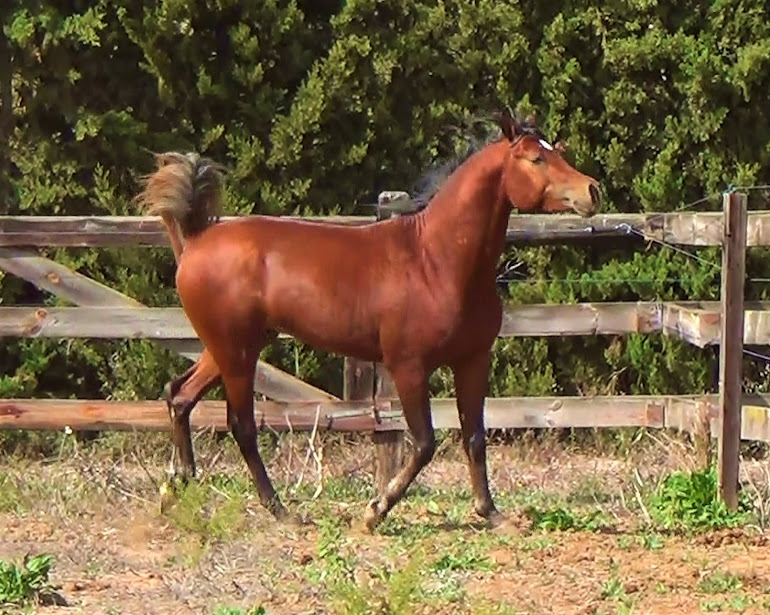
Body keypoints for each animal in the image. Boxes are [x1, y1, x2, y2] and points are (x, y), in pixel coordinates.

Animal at [135, 108, 600, 532]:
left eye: (557, 150)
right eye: (535, 159)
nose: (592, 191)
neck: (436, 260)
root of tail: (195, 242)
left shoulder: (472, 360)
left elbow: (474, 436)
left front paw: (491, 513)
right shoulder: (408, 366)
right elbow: (425, 443)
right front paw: (375, 510)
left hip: (230, 346)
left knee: (180, 396)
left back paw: (175, 488)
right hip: (236, 352)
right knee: (241, 424)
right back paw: (280, 510)